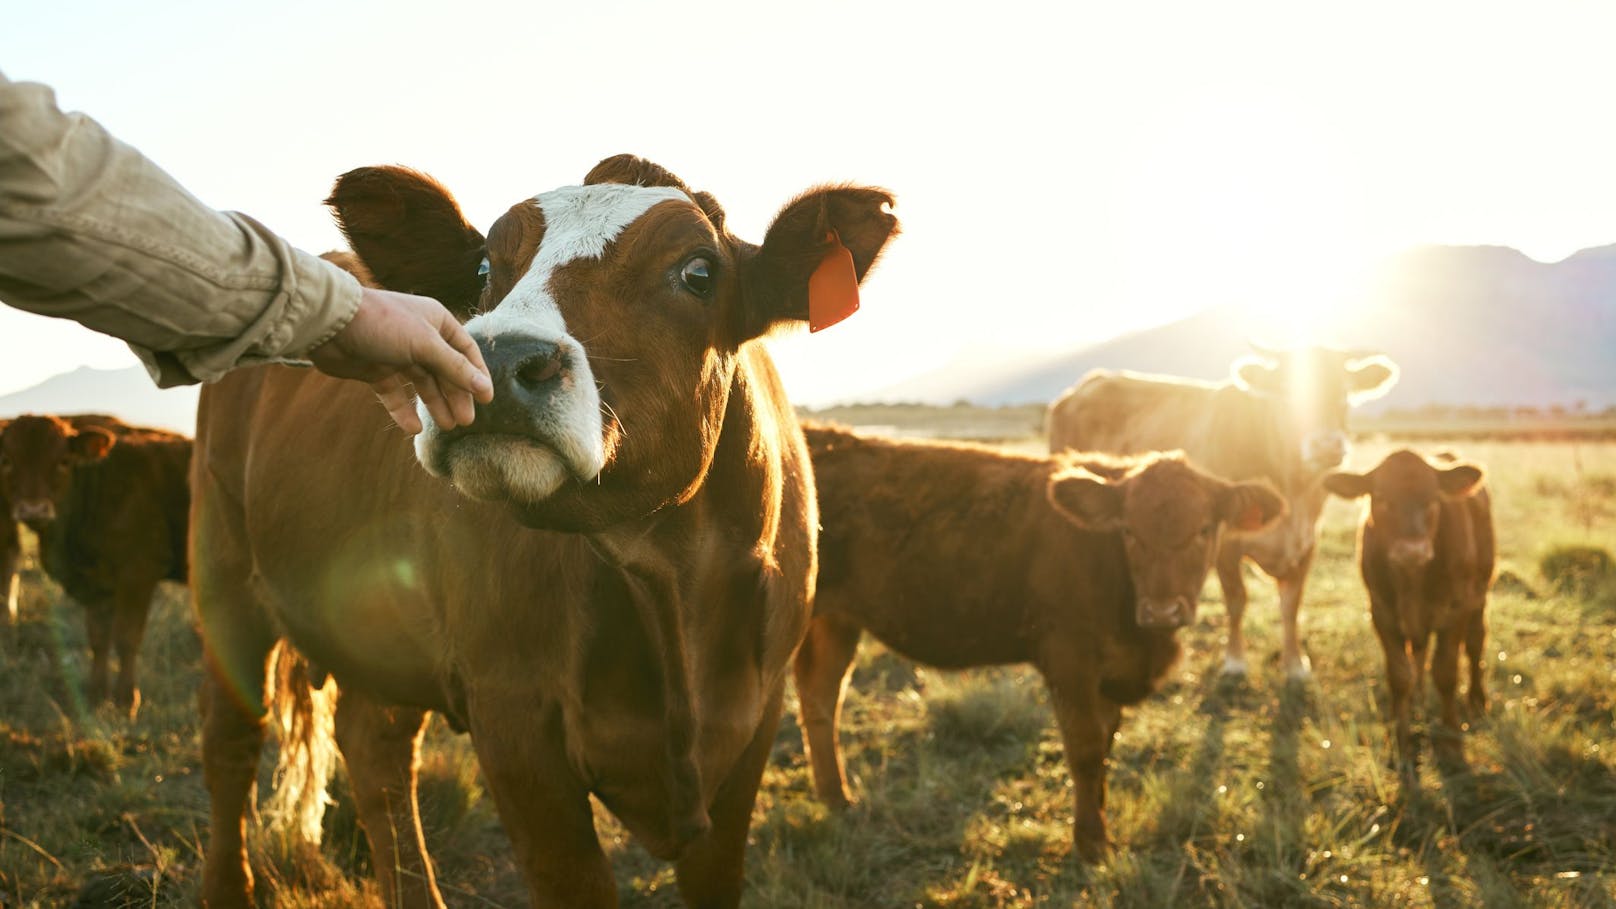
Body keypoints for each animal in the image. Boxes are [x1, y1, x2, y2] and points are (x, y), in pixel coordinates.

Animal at [0, 412, 190, 714]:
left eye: (64, 461)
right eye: (6, 460)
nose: (34, 509)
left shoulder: (138, 576)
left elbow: (126, 638)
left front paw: (126, 701)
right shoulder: (97, 586)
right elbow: (99, 639)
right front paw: (97, 697)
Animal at [189, 155, 898, 905]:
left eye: (699, 272)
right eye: (481, 269)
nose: (498, 359)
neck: (670, 589)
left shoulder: (752, 726)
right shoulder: (515, 722)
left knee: (375, 746)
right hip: (223, 569)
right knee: (231, 735)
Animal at [788, 423, 1279, 854]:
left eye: (1204, 530)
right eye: (1128, 531)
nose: (1161, 610)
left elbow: (1106, 744)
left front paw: (1099, 822)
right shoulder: (1068, 658)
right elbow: (1085, 749)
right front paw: (1091, 842)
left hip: (836, 621)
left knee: (820, 699)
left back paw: (837, 799)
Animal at [1047, 346, 1402, 679]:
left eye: (1344, 392)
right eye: (1286, 392)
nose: (1326, 445)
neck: (1293, 488)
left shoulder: (1306, 542)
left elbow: (1291, 605)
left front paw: (1294, 664)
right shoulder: (1227, 542)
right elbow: (1236, 600)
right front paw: (1234, 662)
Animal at [1318, 449, 1493, 776]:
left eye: (1433, 498)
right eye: (1381, 497)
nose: (1412, 550)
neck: (1411, 579)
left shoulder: (1455, 610)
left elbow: (1446, 672)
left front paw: (1451, 741)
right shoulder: (1381, 613)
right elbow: (1400, 675)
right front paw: (1399, 744)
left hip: (1480, 594)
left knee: (1475, 643)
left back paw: (1477, 699)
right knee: (1418, 656)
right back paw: (1417, 700)